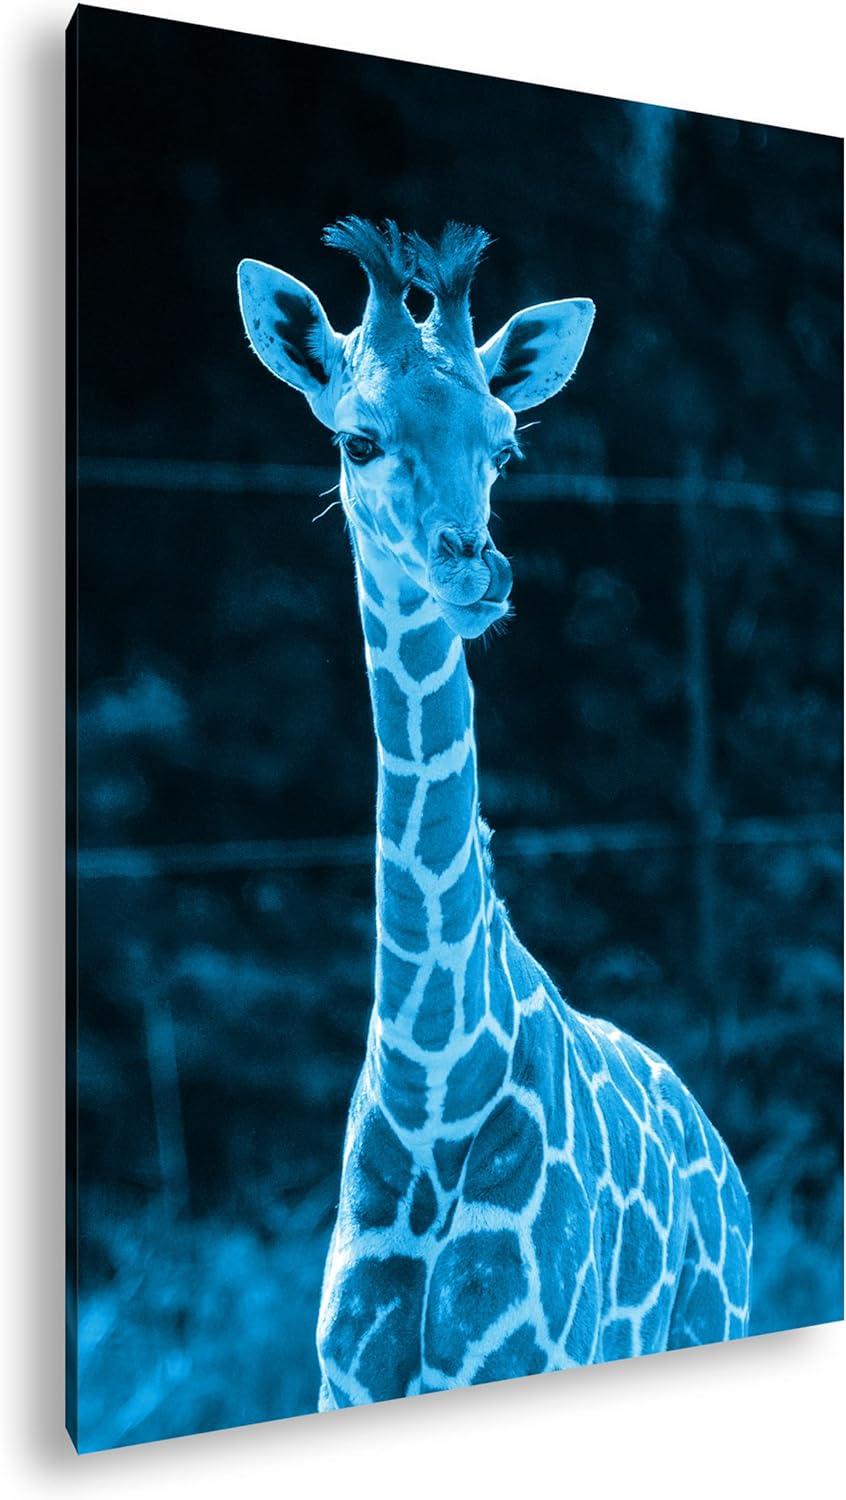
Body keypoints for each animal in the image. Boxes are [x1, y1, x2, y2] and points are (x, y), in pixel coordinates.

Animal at [236, 220, 752, 1410]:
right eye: (359, 440)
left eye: (506, 445)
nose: (474, 569)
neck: (432, 1079)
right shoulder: (345, 1385)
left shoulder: (537, 1353)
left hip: (706, 1325)